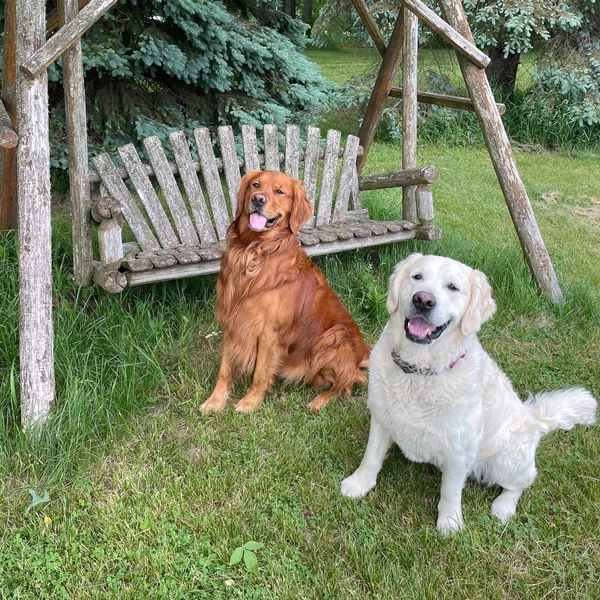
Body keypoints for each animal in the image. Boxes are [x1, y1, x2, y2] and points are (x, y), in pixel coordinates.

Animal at [340, 253, 596, 536]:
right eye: (417, 276)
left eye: (453, 287)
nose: (422, 300)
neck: (419, 371)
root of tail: (534, 421)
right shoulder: (382, 417)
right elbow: (371, 457)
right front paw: (359, 484)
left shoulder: (460, 447)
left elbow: (450, 490)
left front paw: (450, 522)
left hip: (507, 461)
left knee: (523, 481)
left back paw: (503, 507)